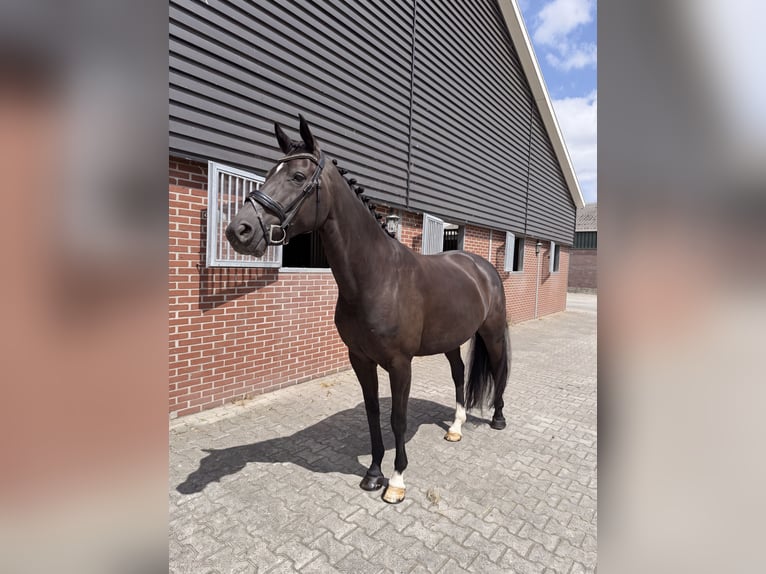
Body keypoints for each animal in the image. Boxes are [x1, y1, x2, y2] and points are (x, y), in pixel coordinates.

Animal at [226, 115, 510, 504]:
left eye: (297, 177)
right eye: (269, 173)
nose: (239, 230)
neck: (377, 277)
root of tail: (481, 266)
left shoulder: (400, 364)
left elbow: (397, 419)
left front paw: (397, 481)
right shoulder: (360, 359)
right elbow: (374, 414)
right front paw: (374, 473)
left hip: (492, 332)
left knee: (498, 369)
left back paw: (497, 419)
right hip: (451, 340)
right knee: (459, 374)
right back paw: (455, 427)